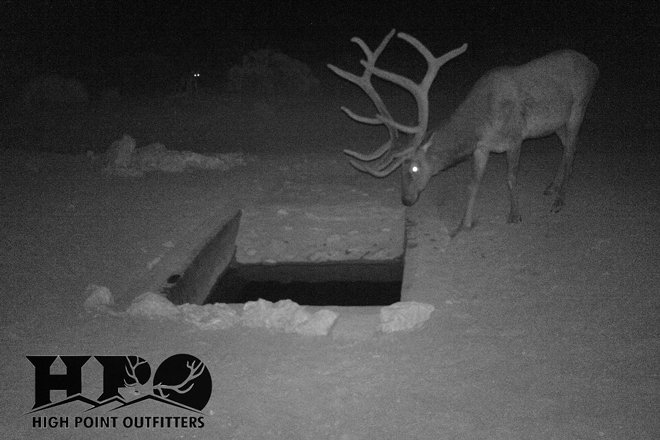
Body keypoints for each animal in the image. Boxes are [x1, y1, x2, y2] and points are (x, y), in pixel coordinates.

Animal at [328, 30, 599, 236]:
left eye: (413, 168)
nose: (406, 200)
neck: (482, 122)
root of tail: (593, 65)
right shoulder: (482, 147)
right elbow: (473, 183)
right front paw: (462, 224)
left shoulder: (515, 137)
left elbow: (511, 177)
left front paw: (515, 215)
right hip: (557, 122)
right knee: (568, 147)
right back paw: (552, 187)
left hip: (580, 106)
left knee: (571, 148)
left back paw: (559, 200)